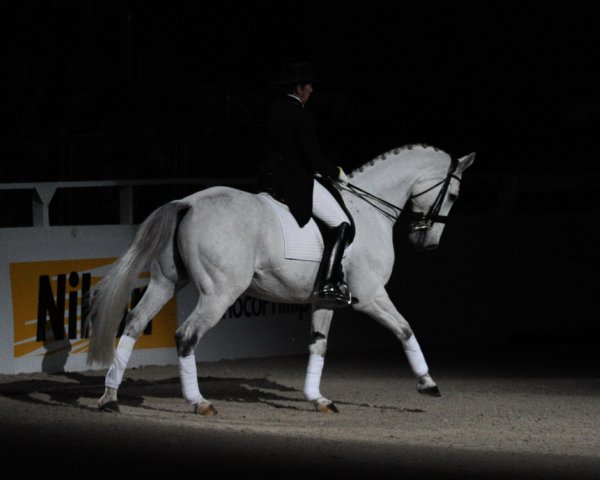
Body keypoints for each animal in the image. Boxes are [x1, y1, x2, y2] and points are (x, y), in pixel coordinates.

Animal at [88, 144, 474, 414]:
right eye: (454, 195)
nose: (427, 243)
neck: (368, 209)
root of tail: (188, 202)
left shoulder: (325, 298)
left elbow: (318, 345)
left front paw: (318, 399)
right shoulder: (371, 295)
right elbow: (405, 328)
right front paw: (428, 383)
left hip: (166, 281)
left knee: (134, 324)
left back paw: (109, 397)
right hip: (219, 292)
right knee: (186, 335)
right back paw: (199, 402)